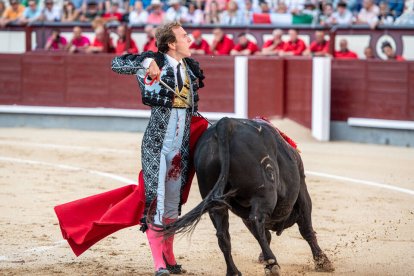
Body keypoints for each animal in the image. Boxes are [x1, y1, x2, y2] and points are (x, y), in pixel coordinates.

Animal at [163, 117, 334, 274]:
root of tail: (225, 124)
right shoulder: (302, 191)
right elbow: (306, 229)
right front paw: (323, 261)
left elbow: (264, 234)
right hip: (265, 192)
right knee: (257, 220)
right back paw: (272, 263)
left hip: (215, 201)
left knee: (223, 234)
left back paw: (234, 271)